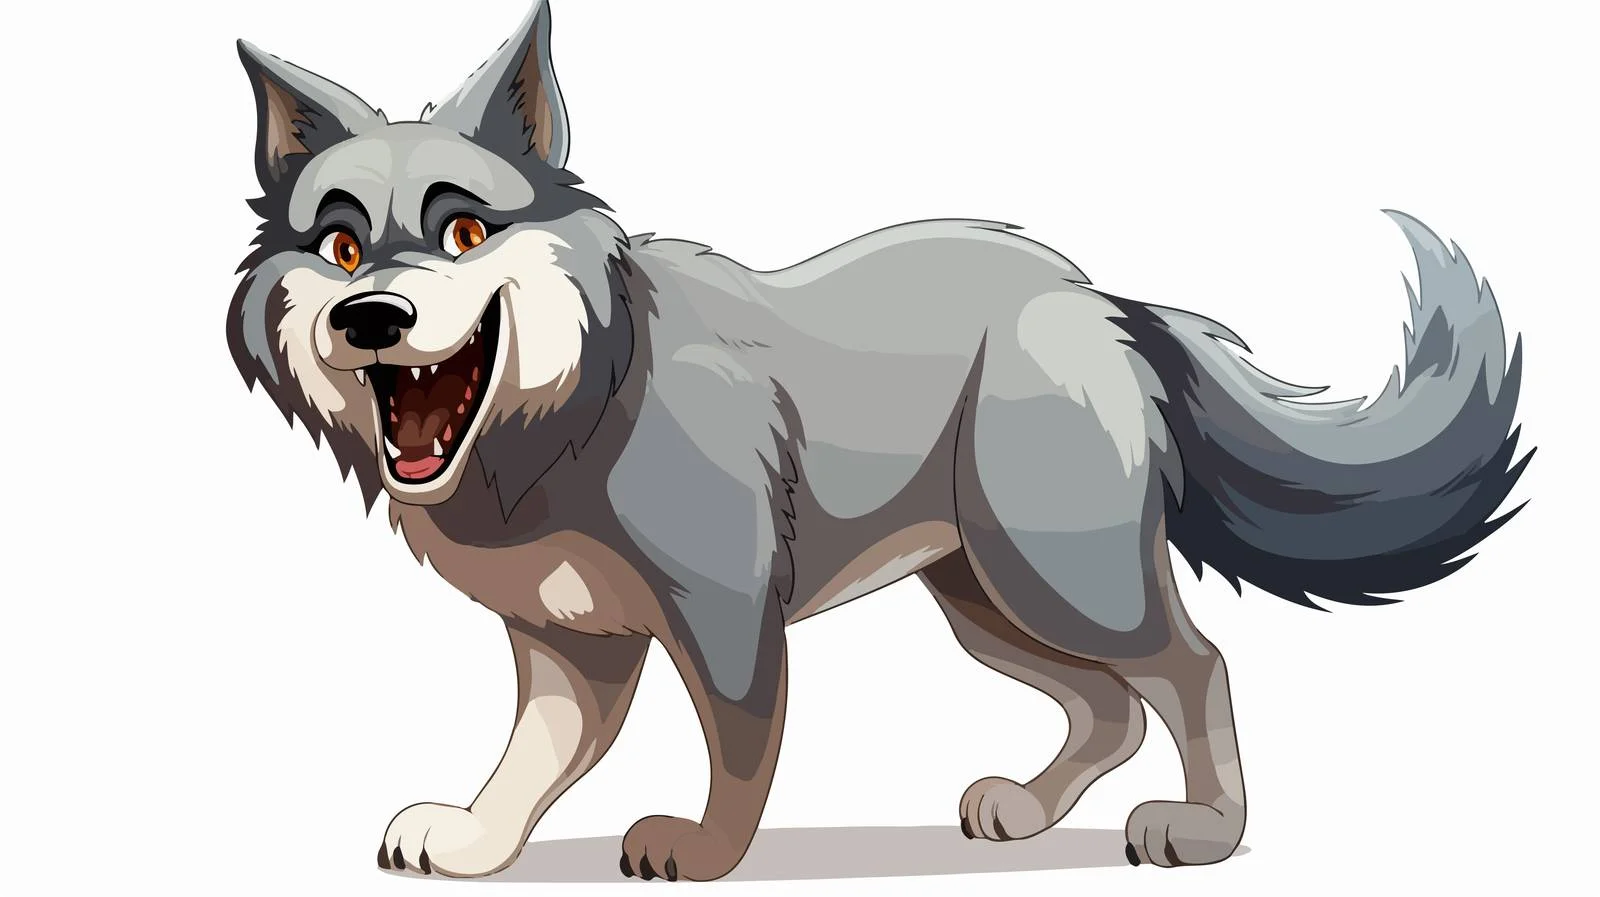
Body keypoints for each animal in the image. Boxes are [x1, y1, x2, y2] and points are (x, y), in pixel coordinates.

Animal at [229, 0, 1530, 881]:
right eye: (339, 249)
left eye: (460, 231)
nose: (370, 319)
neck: (571, 414)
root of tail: (1097, 298)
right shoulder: (570, 640)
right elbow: (535, 755)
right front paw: (478, 838)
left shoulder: (724, 613)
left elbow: (739, 749)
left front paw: (703, 850)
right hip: (981, 595)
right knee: (1106, 706)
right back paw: (1029, 811)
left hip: (1054, 574)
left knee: (1190, 664)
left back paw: (1207, 828)